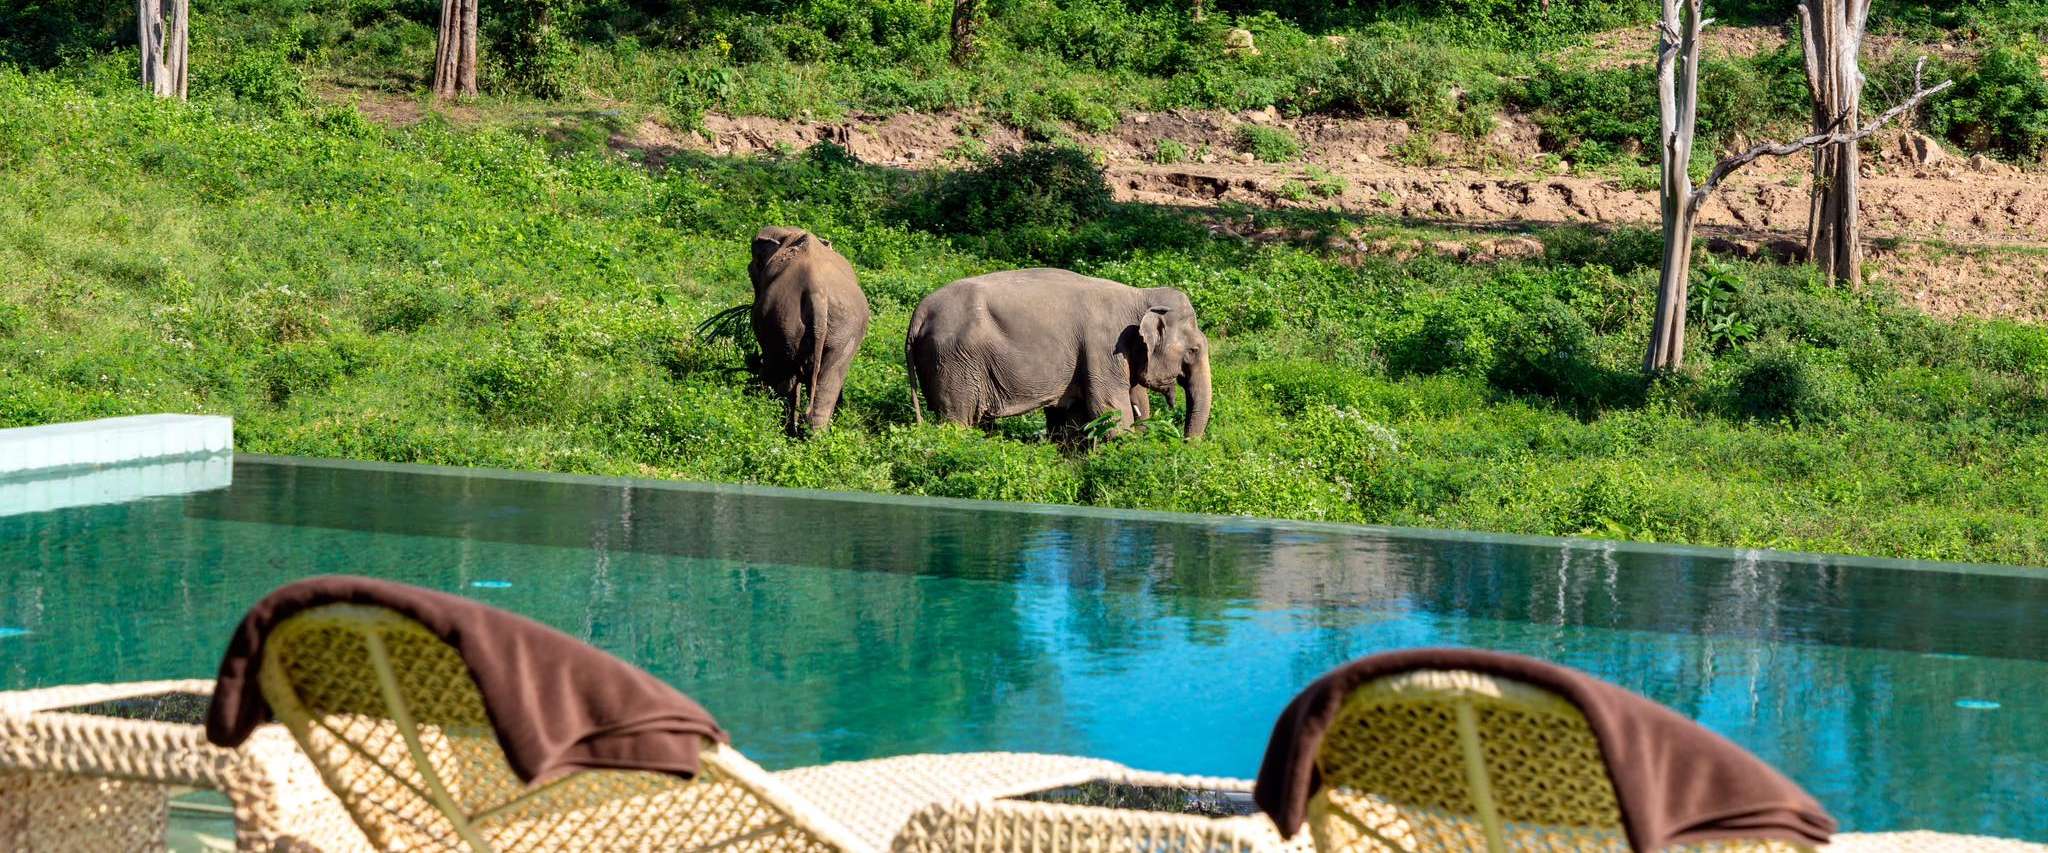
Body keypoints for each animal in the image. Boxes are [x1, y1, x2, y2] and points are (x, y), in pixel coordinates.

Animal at [748, 226, 871, 435]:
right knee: (829, 380)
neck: (790, 235)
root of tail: (817, 292)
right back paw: (813, 435)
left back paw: (783, 427)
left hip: (782, 319)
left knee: (782, 372)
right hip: (844, 329)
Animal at [905, 268, 1211, 442]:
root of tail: (919, 312)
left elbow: (1071, 418)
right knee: (957, 420)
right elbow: (1109, 410)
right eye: (1194, 350)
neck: (1139, 296)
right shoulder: (1103, 347)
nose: (1183, 445)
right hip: (953, 361)